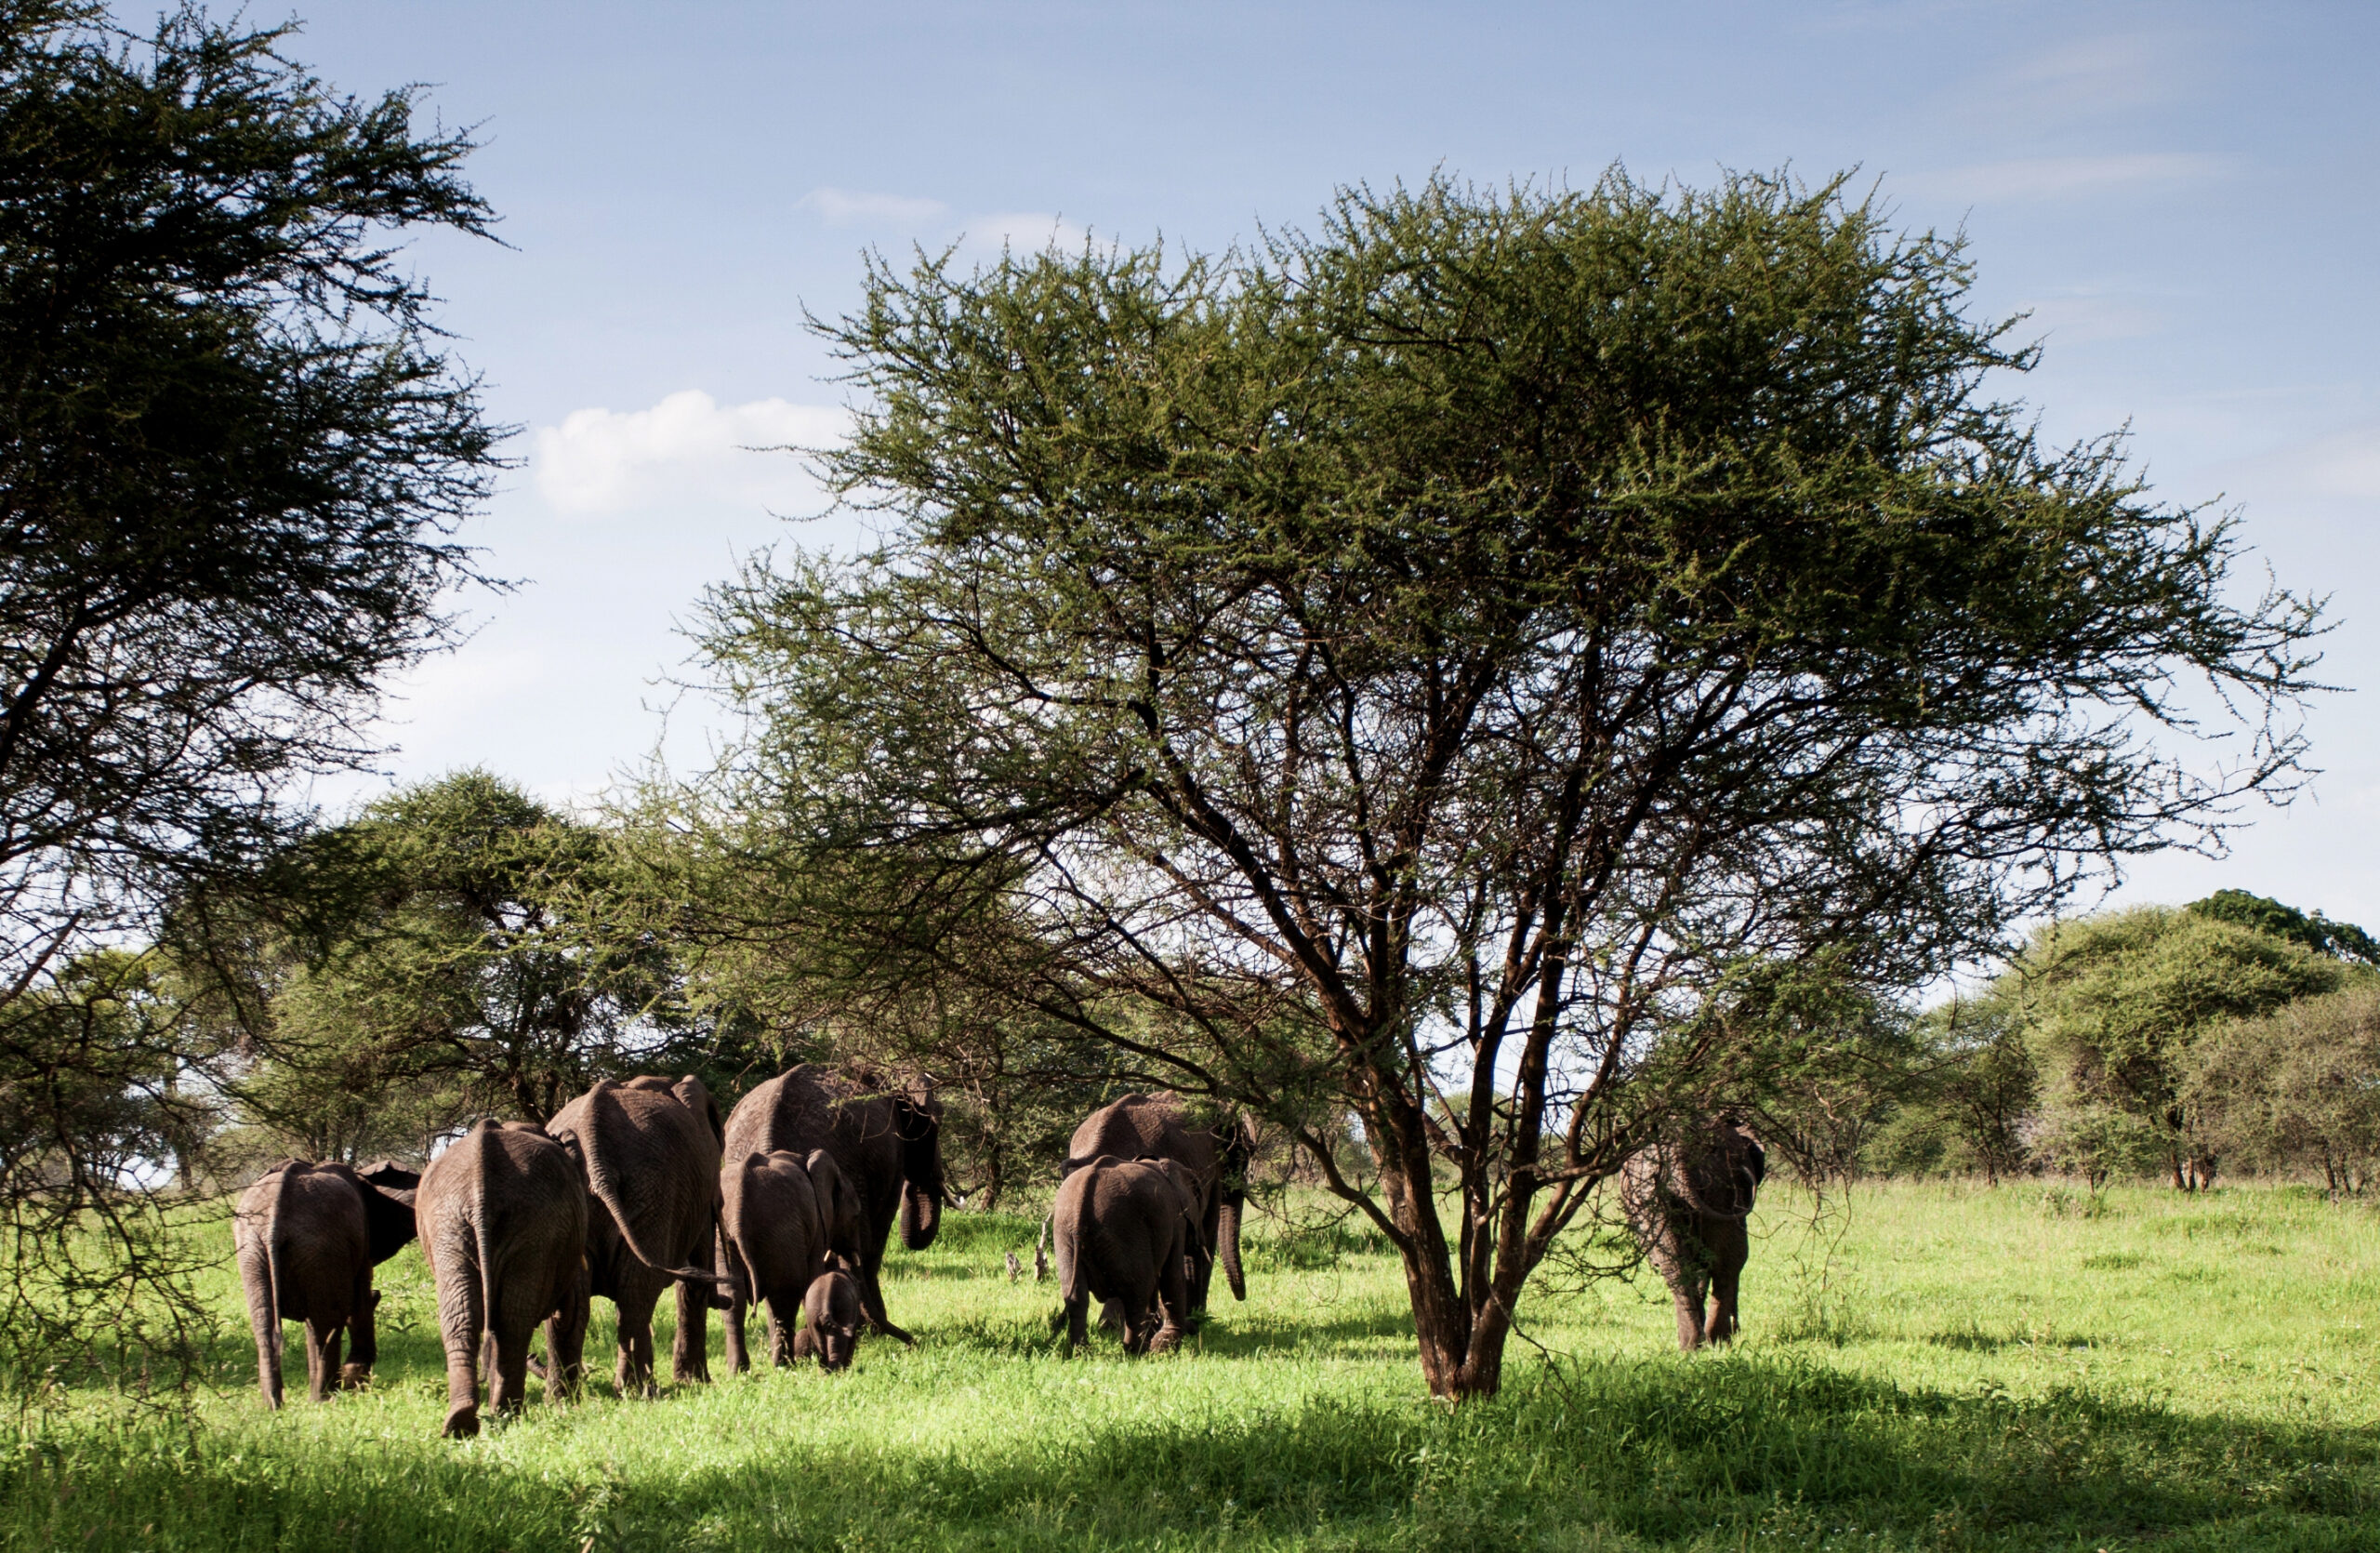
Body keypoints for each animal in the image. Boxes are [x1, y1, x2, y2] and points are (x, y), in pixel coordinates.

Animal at [233, 1157, 420, 1408]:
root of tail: (272, 1221)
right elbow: (360, 1303)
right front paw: (355, 1382)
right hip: (319, 1246)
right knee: (327, 1325)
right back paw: (323, 1399)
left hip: (254, 1249)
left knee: (268, 1326)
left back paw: (275, 1406)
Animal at [414, 1120, 590, 1438]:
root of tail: (480, 1186)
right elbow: (570, 1312)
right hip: (531, 1225)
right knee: (512, 1323)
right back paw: (505, 1414)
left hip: (453, 1224)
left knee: (465, 1317)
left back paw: (466, 1421)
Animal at [545, 1077, 731, 1395]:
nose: (726, 1299)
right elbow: (694, 1278)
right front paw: (697, 1381)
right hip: (654, 1187)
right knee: (637, 1291)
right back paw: (636, 1391)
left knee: (573, 1302)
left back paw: (563, 1397)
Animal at [1050, 1154, 1200, 1356]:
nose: (1195, 1327)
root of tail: (1087, 1187)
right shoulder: (1176, 1220)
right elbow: (1172, 1275)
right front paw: (1165, 1346)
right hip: (1124, 1229)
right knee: (1136, 1294)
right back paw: (1136, 1351)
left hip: (1064, 1233)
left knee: (1076, 1297)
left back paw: (1081, 1352)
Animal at [1621, 1116, 1766, 1351]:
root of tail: (1678, 1151)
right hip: (1719, 1187)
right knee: (1732, 1260)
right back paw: (1719, 1340)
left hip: (1652, 1195)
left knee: (1678, 1266)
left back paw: (1692, 1345)